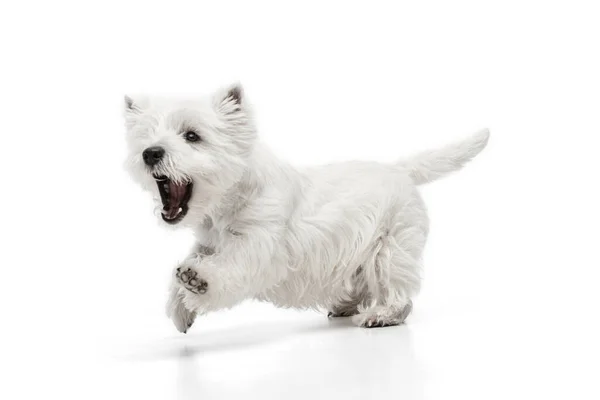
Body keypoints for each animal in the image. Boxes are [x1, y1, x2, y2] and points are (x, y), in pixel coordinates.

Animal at [122, 83, 488, 332]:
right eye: (145, 136)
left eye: (192, 135)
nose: (150, 153)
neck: (225, 205)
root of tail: (400, 170)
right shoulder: (208, 243)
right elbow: (190, 262)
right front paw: (180, 307)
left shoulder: (262, 245)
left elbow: (234, 267)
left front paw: (198, 282)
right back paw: (344, 305)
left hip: (391, 247)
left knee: (399, 293)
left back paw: (380, 315)